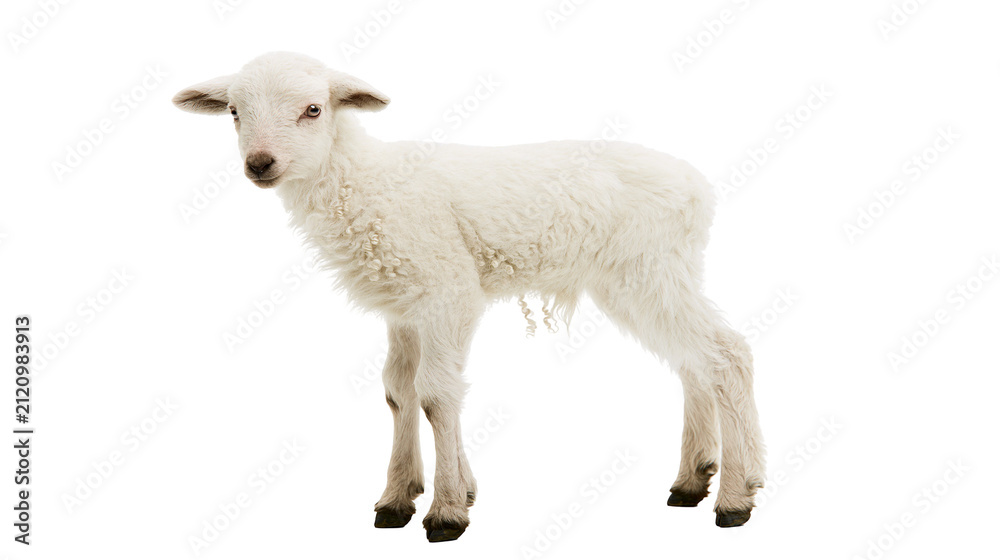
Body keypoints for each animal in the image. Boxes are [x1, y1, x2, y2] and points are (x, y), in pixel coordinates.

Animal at [173, 51, 765, 542]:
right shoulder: (405, 307)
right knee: (694, 362)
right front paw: (402, 495)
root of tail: (699, 188)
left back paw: (735, 497)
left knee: (726, 354)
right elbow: (398, 392)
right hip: (652, 275)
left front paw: (447, 511)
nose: (260, 163)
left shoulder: (448, 290)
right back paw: (694, 480)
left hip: (648, 269)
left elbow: (437, 395)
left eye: (313, 109)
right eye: (233, 112)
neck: (366, 182)